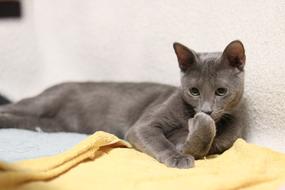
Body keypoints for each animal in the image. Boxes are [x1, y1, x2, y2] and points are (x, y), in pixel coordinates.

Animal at [0, 40, 244, 168]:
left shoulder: (222, 139)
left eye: (221, 91)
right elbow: (158, 140)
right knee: (12, 108)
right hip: (43, 102)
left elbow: (207, 143)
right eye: (194, 91)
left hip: (49, 124)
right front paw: (178, 158)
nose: (206, 110)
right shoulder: (143, 126)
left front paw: (194, 137)